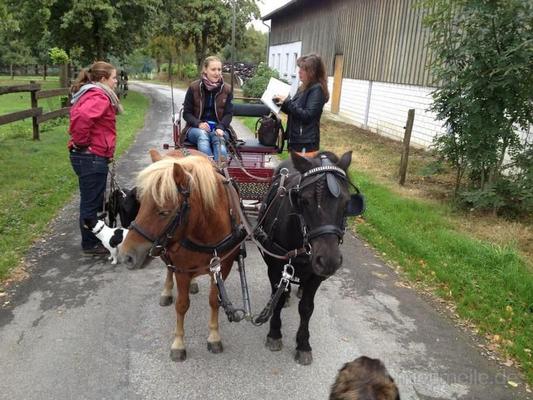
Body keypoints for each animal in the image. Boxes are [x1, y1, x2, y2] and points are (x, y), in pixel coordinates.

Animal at [119, 150, 241, 362]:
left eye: (163, 212)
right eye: (140, 204)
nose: (126, 255)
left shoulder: (222, 267)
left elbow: (214, 300)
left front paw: (214, 336)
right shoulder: (182, 270)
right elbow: (182, 305)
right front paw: (178, 343)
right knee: (169, 268)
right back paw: (167, 291)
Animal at [256, 150, 364, 366]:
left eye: (346, 203)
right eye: (304, 201)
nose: (329, 260)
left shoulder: (316, 275)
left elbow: (306, 308)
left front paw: (303, 344)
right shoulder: (274, 267)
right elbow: (278, 299)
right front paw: (274, 333)